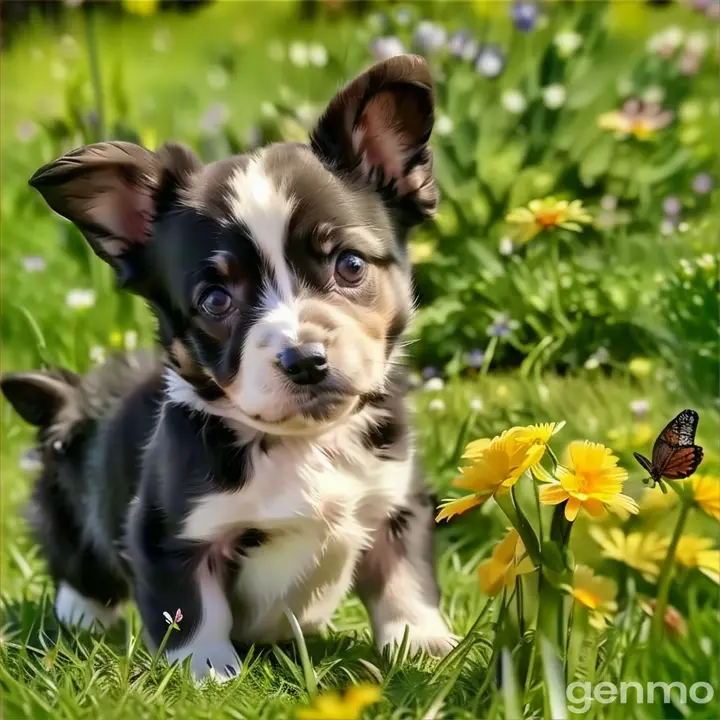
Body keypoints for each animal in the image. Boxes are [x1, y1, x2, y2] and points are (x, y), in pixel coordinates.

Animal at [7, 54, 456, 680]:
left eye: (349, 265)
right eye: (216, 300)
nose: (305, 360)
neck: (303, 443)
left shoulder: (398, 503)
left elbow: (405, 582)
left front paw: (422, 645)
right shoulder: (166, 534)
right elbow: (192, 610)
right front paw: (206, 673)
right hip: (72, 507)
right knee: (78, 564)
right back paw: (82, 619)